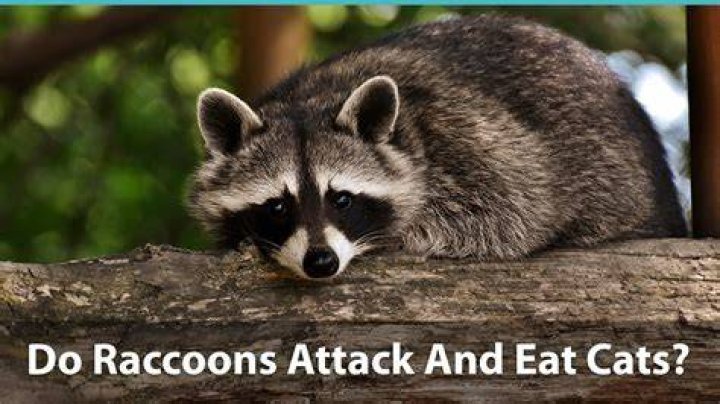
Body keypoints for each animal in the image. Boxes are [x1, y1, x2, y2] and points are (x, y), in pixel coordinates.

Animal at [188, 15, 686, 279]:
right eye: (276, 205)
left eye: (342, 199)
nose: (321, 262)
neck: (312, 99)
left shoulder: (474, 142)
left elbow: (512, 213)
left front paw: (395, 237)